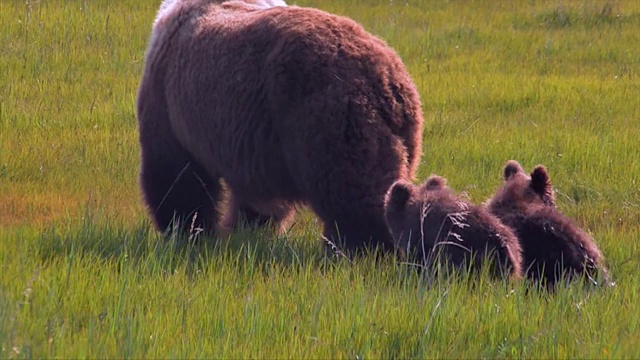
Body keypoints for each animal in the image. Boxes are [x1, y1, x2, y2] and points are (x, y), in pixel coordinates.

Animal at [137, 0, 422, 253]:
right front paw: (244, 229)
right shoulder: (255, 145)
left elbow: (177, 176)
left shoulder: (168, 98)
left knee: (353, 190)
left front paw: (188, 230)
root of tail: (387, 80)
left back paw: (360, 248)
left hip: (325, 118)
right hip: (404, 137)